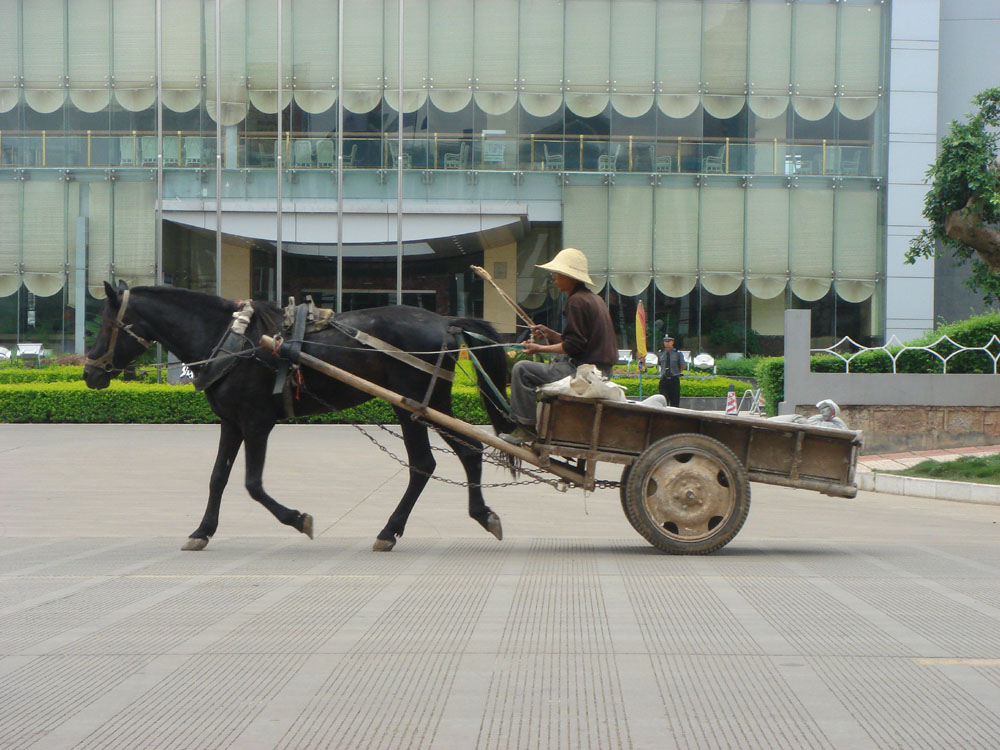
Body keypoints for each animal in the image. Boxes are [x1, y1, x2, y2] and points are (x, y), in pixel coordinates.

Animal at [84, 282, 516, 552]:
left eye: (107, 324)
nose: (89, 373)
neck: (232, 338)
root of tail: (445, 321)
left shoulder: (257, 422)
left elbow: (252, 484)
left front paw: (297, 518)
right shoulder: (231, 422)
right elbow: (218, 477)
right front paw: (202, 531)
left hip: (413, 406)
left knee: (427, 462)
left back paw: (392, 530)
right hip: (429, 404)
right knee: (468, 451)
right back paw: (477, 515)